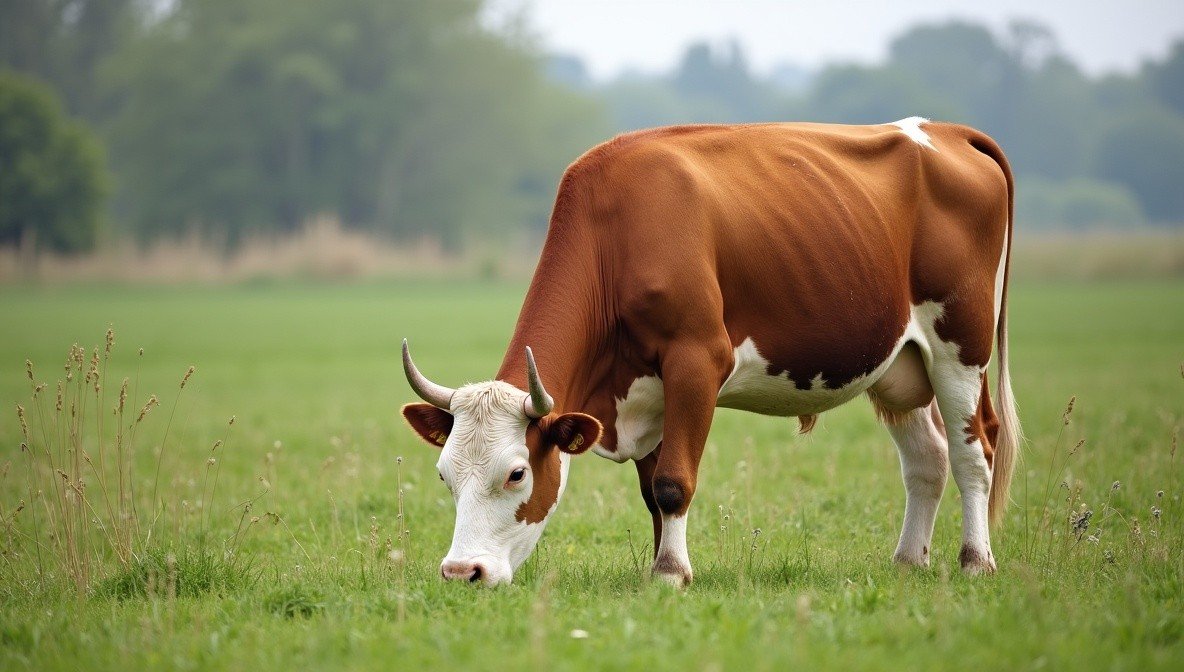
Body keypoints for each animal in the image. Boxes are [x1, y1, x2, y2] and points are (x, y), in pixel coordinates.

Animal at [401, 117, 1020, 587]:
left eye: (516, 474)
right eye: (444, 475)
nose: (462, 572)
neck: (617, 230)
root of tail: (945, 131)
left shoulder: (696, 362)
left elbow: (673, 482)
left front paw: (671, 574)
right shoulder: (646, 389)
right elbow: (652, 491)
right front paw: (660, 566)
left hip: (960, 349)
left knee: (975, 451)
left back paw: (976, 562)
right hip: (898, 367)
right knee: (927, 460)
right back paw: (908, 561)